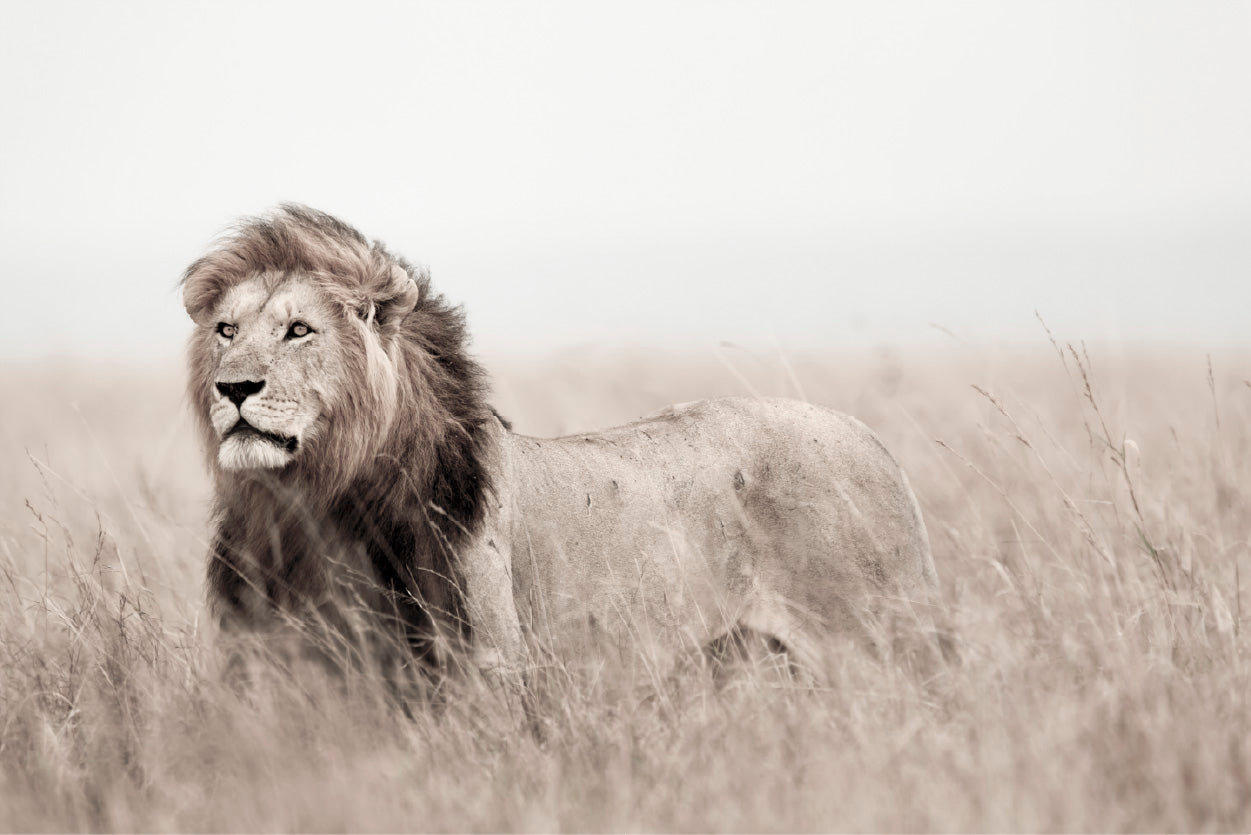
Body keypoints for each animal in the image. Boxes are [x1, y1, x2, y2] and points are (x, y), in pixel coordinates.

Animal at [182, 204, 940, 691]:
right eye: (226, 330)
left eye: (299, 330)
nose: (234, 387)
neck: (312, 503)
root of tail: (872, 439)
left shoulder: (484, 672)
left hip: (881, 651)